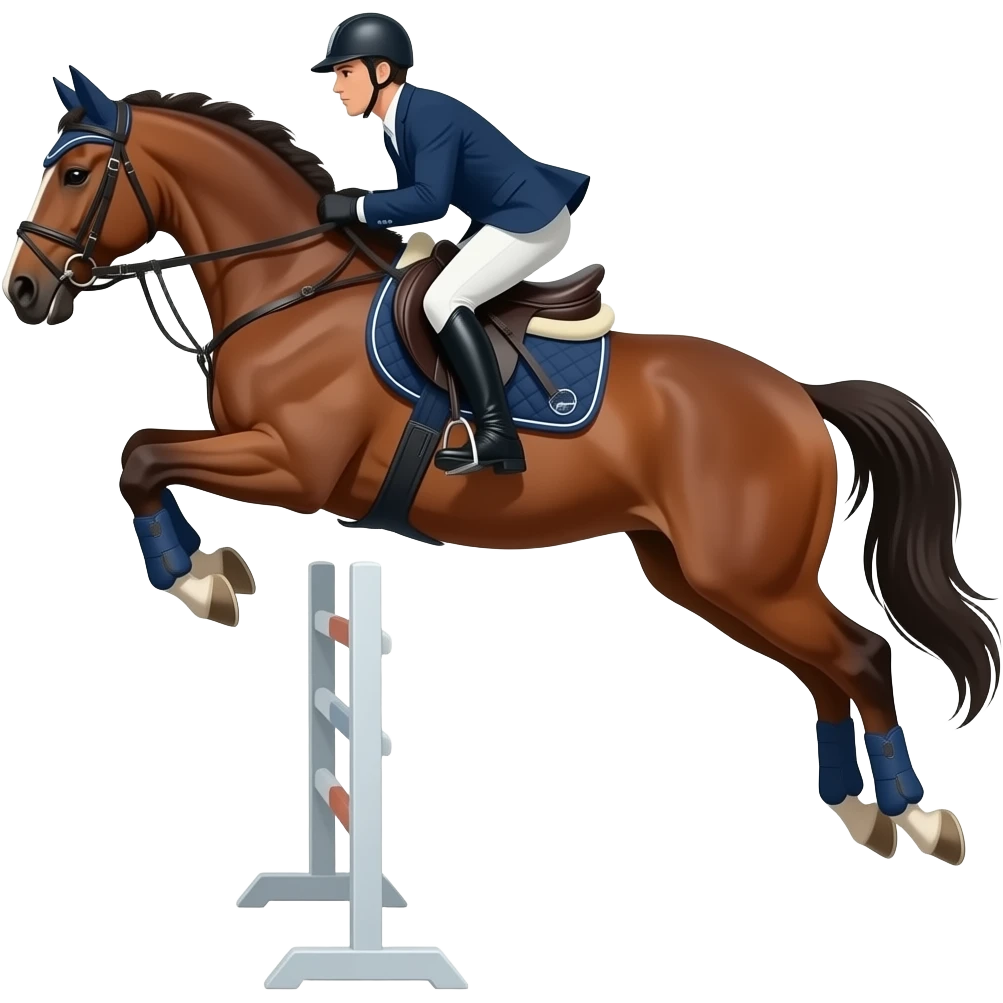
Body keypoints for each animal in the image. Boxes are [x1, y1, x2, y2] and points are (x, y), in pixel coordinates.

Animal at [4, 68, 999, 867]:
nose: (23, 291)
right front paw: (207, 571)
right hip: (704, 574)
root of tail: (800, 394)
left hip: (746, 573)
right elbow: (141, 453)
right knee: (827, 670)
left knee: (860, 657)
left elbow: (141, 454)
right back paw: (857, 806)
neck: (290, 292)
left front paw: (200, 579)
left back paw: (915, 818)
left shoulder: (292, 465)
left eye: (78, 174)